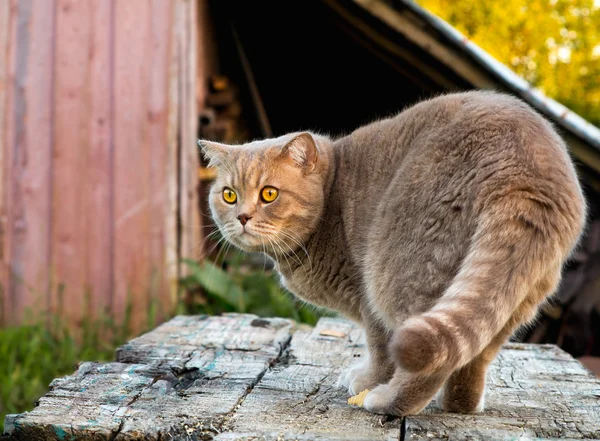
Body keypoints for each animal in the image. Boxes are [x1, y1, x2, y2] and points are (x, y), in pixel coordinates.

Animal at [199, 91, 584, 414]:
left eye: (269, 194)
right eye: (229, 195)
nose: (242, 216)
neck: (331, 198)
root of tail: (528, 173)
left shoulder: (367, 300)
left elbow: (379, 348)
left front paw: (367, 381)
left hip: (399, 272)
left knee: (425, 358)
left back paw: (385, 400)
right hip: (517, 292)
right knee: (475, 353)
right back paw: (460, 405)